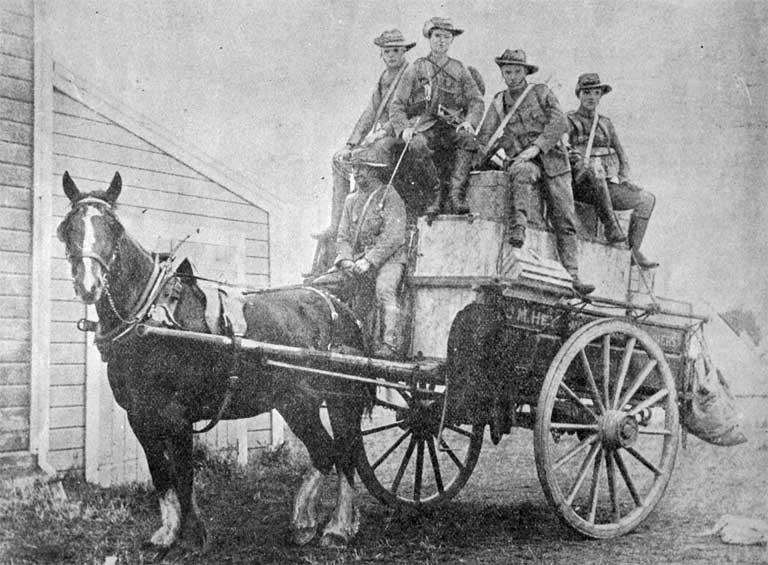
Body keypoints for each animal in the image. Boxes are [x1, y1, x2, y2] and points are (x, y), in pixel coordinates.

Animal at [57, 171, 372, 552]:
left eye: (115, 227)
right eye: (66, 227)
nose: (88, 285)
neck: (151, 317)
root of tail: (341, 308)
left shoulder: (177, 416)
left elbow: (183, 476)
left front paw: (195, 534)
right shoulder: (140, 417)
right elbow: (161, 475)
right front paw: (167, 533)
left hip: (341, 401)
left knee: (345, 455)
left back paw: (338, 526)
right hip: (296, 401)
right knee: (325, 452)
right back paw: (304, 522)